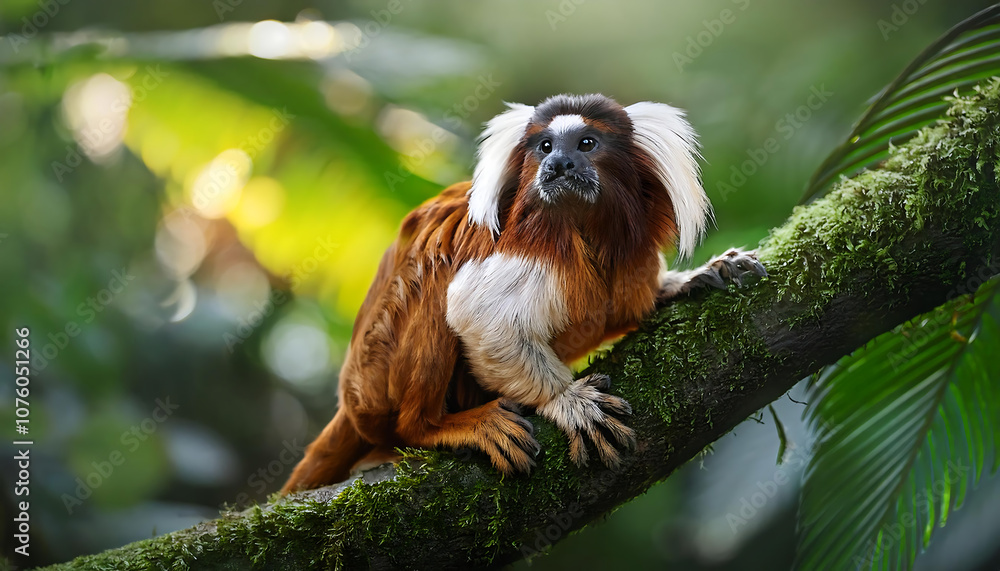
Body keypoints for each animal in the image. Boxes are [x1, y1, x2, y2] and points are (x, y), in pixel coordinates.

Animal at [281, 93, 766, 493]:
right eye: (546, 147)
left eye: (585, 144)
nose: (558, 166)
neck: (584, 229)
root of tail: (350, 397)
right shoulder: (526, 245)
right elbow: (479, 316)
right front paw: (564, 400)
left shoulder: (636, 256)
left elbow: (626, 310)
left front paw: (695, 277)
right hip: (375, 374)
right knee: (433, 279)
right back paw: (435, 426)